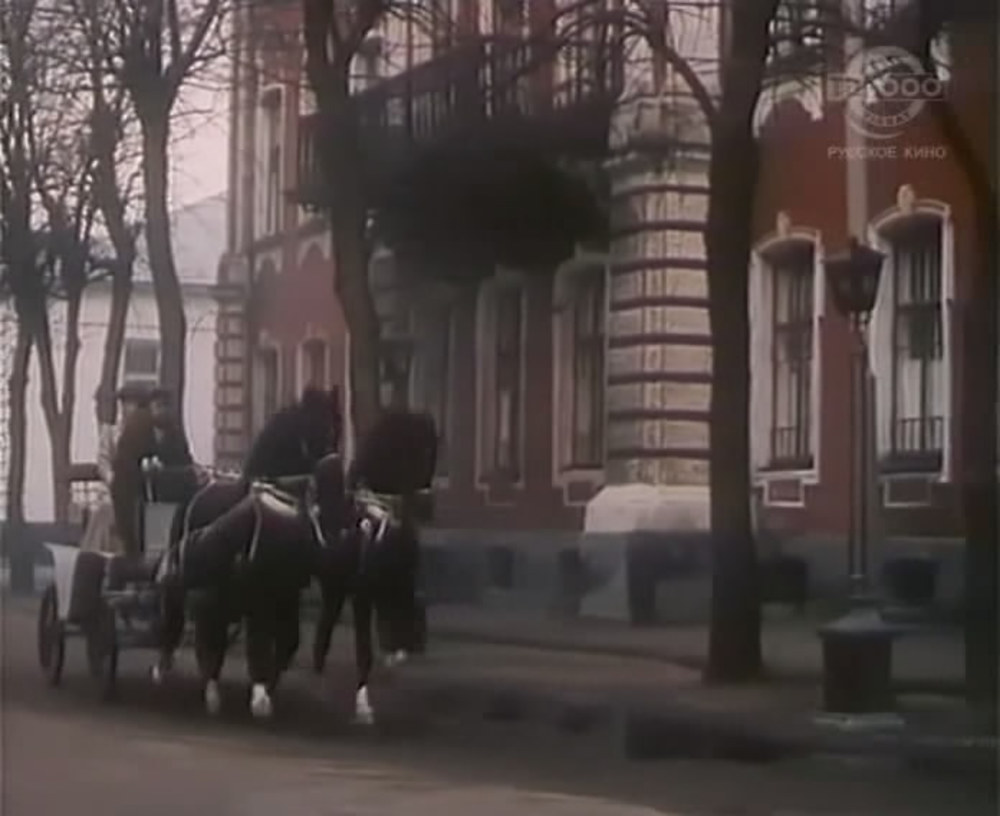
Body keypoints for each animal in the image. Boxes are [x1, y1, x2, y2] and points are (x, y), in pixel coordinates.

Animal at [151, 387, 342, 718]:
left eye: (336, 431)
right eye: (315, 430)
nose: (336, 490)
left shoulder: (285, 593)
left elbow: (288, 643)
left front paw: (266, 691)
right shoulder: (254, 592)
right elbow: (257, 642)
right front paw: (257, 697)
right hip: (200, 586)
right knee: (189, 623)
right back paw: (178, 673)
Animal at [311, 408, 438, 725]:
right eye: (424, 447)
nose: (428, 501)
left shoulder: (363, 591)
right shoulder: (361, 595)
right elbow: (361, 648)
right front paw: (363, 707)